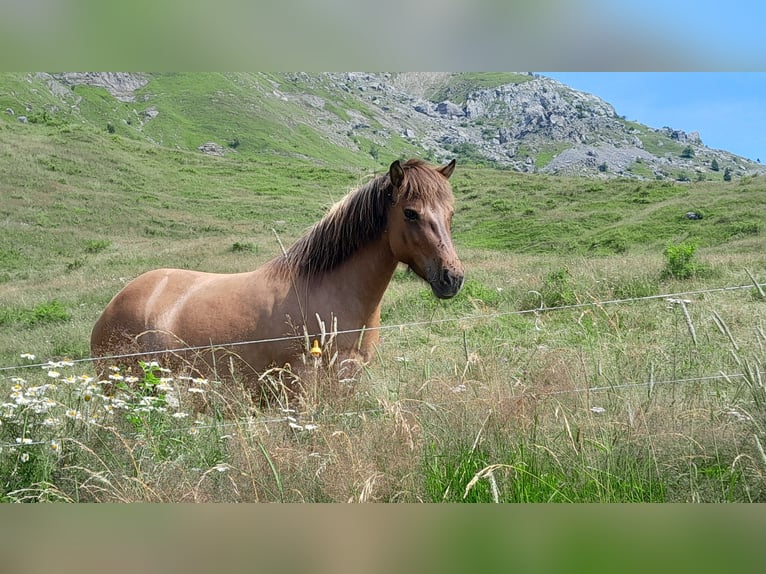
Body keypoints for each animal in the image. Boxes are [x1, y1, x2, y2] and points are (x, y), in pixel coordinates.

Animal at [90, 158, 464, 400]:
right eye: (410, 213)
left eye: (450, 213)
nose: (453, 277)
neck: (331, 292)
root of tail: (111, 306)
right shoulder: (303, 383)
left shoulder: (348, 378)